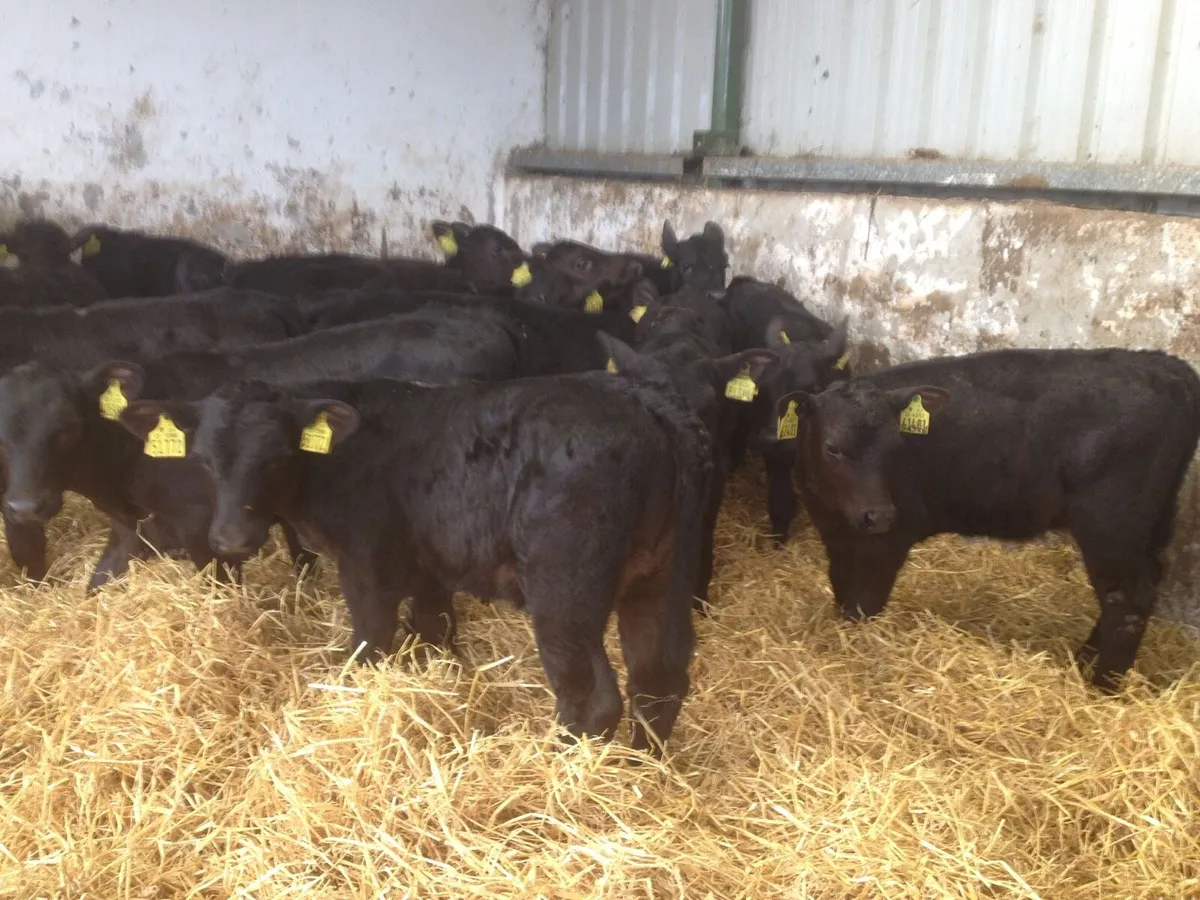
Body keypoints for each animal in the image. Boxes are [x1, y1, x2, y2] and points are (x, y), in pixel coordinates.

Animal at [119, 369, 714, 756]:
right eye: (203, 459)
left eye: (279, 455)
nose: (232, 539)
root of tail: (636, 393)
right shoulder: (431, 566)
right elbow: (434, 631)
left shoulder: (366, 568)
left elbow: (369, 646)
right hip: (656, 579)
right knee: (657, 681)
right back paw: (643, 768)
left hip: (565, 594)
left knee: (592, 695)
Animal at [775, 347, 1200, 691]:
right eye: (832, 447)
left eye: (895, 446)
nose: (878, 514)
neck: (834, 510)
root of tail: (1170, 367)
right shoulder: (838, 536)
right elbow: (842, 587)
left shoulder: (891, 539)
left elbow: (865, 603)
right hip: (1149, 523)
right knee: (1139, 586)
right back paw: (1085, 662)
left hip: (1111, 524)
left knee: (1127, 598)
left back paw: (1102, 686)